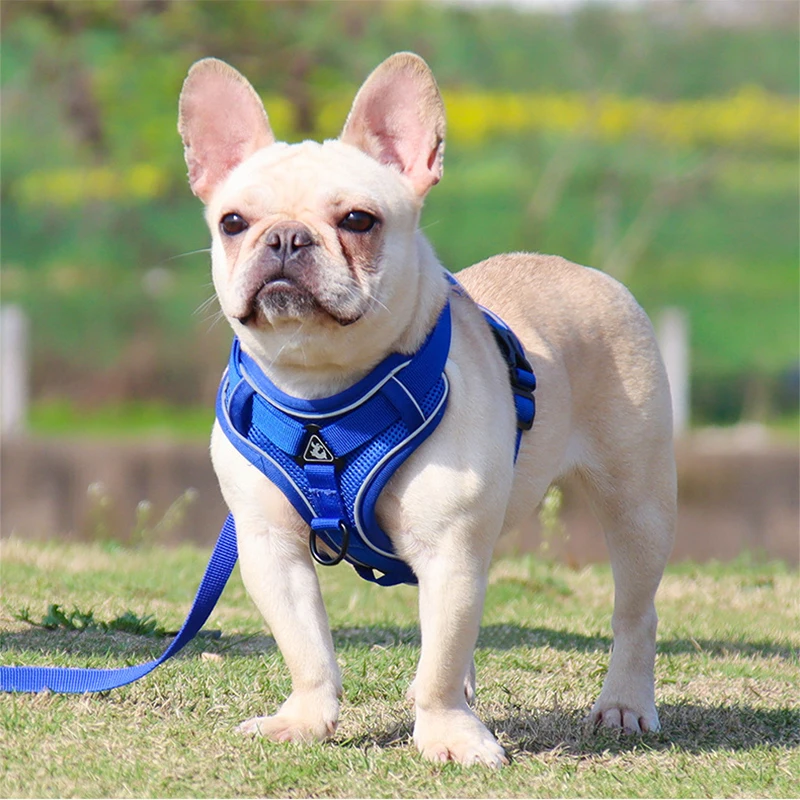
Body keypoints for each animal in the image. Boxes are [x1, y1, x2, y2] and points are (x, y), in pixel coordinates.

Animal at [177, 53, 676, 764]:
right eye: (233, 223)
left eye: (359, 221)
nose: (286, 239)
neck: (324, 394)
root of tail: (583, 271)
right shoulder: (270, 547)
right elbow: (306, 647)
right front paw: (304, 720)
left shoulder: (450, 548)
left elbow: (441, 652)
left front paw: (445, 733)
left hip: (636, 502)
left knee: (634, 609)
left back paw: (625, 704)